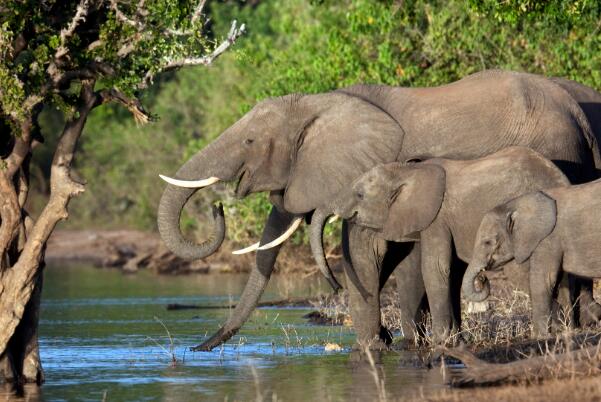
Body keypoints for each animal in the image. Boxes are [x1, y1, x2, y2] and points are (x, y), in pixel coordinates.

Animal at [312, 146, 568, 340]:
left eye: (360, 195)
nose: (336, 287)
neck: (407, 171)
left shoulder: (437, 217)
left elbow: (435, 268)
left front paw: (441, 342)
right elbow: (448, 270)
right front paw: (454, 340)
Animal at [466, 177, 600, 338]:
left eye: (487, 242)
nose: (483, 277)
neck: (516, 204)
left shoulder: (547, 239)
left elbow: (542, 280)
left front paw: (539, 337)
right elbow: (559, 281)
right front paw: (565, 330)